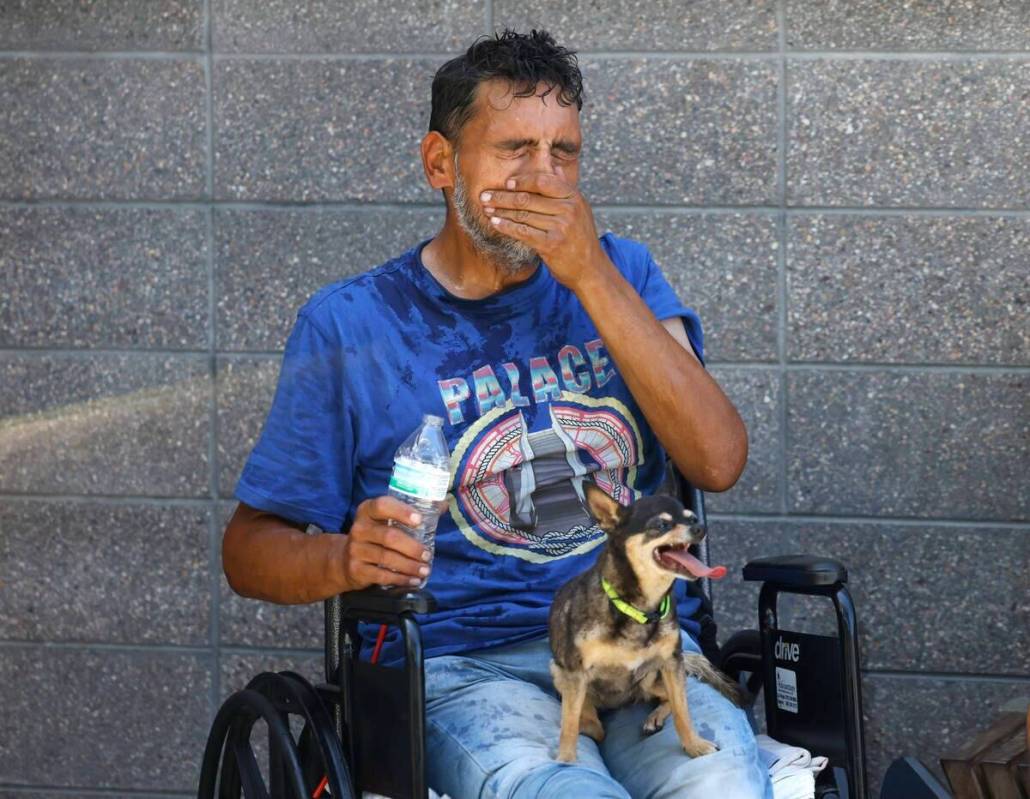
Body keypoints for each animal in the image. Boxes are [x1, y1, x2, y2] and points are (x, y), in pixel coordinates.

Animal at [547, 479, 741, 761]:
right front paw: (566, 759)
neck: (639, 608)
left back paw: (654, 718)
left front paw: (694, 745)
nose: (700, 528)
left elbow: (683, 710)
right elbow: (569, 724)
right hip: (559, 673)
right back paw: (591, 723)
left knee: (671, 697)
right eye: (661, 525)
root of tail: (618, 703)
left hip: (650, 679)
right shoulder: (575, 672)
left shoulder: (671, 663)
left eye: (692, 518)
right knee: (585, 709)